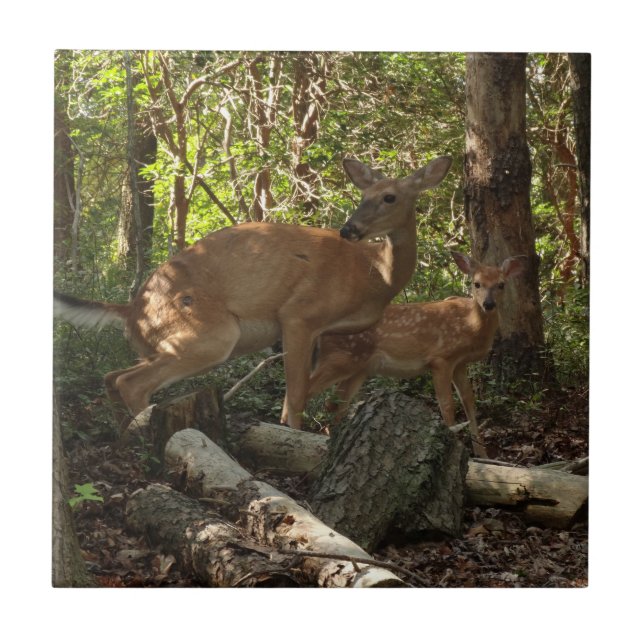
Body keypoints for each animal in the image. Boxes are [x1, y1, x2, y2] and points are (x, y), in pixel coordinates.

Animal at [54, 156, 452, 430]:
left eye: (389, 197)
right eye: (363, 194)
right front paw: (297, 437)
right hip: (211, 333)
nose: (349, 229)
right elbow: (297, 393)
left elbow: (298, 393)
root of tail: (132, 309)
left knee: (111, 376)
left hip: (159, 343)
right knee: (130, 382)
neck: (375, 273)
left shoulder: (318, 331)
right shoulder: (299, 313)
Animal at [291, 251, 525, 457]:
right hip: (340, 359)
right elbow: (447, 405)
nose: (488, 304)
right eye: (476, 283)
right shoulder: (441, 358)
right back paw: (293, 434)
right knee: (301, 393)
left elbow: (469, 402)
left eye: (501, 284)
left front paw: (483, 455)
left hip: (358, 368)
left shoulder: (460, 363)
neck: (470, 324)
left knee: (335, 404)